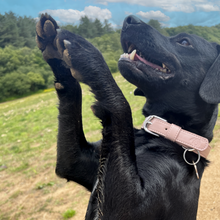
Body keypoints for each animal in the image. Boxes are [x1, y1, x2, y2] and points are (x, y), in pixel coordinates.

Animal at [36, 14, 220, 219]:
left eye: (185, 42)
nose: (130, 19)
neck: (165, 134)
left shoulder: (126, 206)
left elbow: (122, 106)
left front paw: (85, 51)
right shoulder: (76, 163)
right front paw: (52, 45)